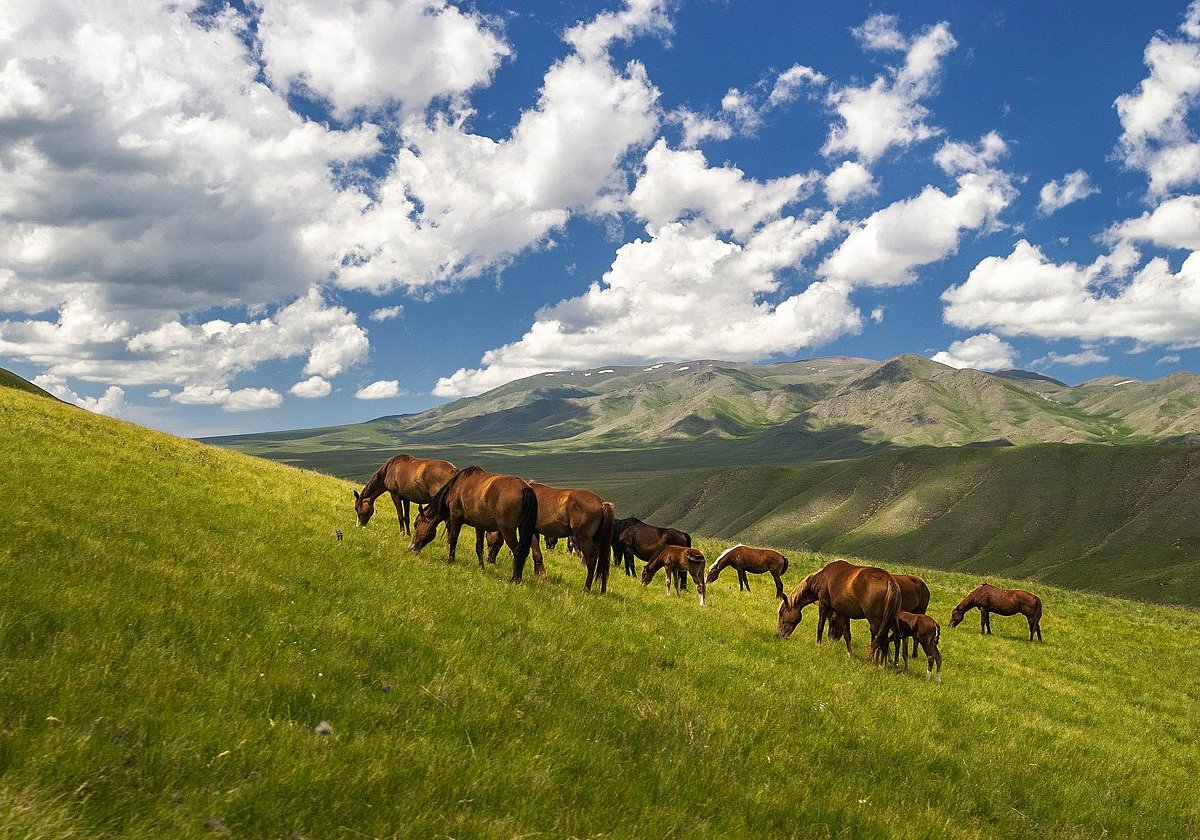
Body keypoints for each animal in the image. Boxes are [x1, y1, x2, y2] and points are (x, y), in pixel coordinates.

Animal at [484, 482, 614, 592]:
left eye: (489, 540)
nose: (489, 559)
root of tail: (602, 503)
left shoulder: (532, 532)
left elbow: (537, 553)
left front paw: (542, 575)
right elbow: (534, 554)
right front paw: (536, 573)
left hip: (584, 539)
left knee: (591, 560)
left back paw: (586, 589)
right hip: (598, 540)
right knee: (603, 561)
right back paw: (603, 590)